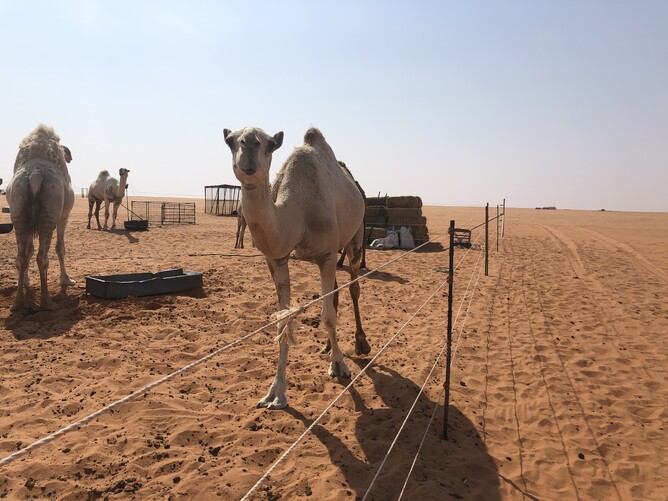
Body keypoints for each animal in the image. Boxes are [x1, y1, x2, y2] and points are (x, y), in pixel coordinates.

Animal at [5, 124, 76, 311]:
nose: (70, 157)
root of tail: (35, 175)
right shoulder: (64, 216)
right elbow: (61, 248)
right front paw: (66, 280)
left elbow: (28, 250)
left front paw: (25, 282)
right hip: (49, 213)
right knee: (42, 256)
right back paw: (47, 302)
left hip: (19, 210)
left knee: (22, 255)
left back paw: (18, 302)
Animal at [223, 126, 371, 409]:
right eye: (230, 141)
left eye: (269, 144)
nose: (248, 145)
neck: (298, 212)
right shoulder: (277, 259)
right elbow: (284, 321)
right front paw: (275, 393)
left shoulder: (327, 255)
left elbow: (327, 315)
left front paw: (339, 366)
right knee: (336, 292)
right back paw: (328, 346)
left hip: (355, 236)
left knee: (354, 287)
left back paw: (361, 343)